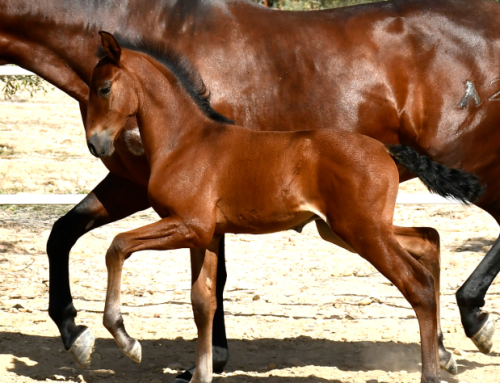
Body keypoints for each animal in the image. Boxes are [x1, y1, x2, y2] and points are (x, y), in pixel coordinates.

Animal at [0, 0, 498, 378]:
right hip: (346, 228)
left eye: (103, 88)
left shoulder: (184, 221)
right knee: (429, 242)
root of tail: (387, 150)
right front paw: (198, 368)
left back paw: (456, 340)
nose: (97, 144)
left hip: (372, 225)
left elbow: (118, 247)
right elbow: (200, 297)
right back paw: (448, 346)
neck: (188, 138)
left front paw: (121, 338)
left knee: (418, 281)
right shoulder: (195, 227)